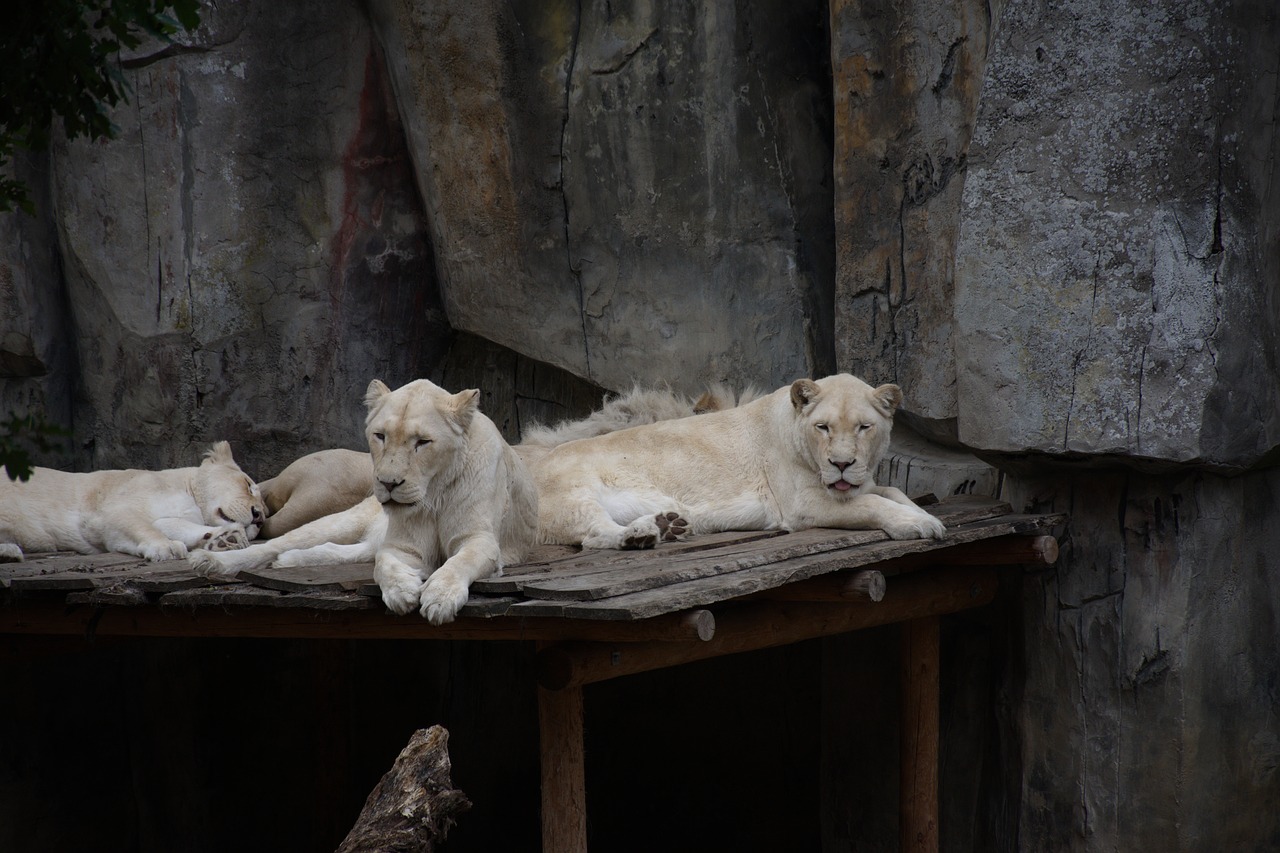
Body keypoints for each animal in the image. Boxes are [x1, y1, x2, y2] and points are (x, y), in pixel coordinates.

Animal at [0, 440, 264, 560]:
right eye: (248, 484)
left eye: (265, 511)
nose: (259, 517)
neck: (189, 494)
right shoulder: (105, 513)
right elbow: (141, 526)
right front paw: (166, 548)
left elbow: (175, 526)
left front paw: (227, 538)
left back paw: (11, 552)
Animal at [529, 371, 952, 545]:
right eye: (823, 427)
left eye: (864, 427)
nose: (842, 464)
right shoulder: (802, 504)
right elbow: (874, 504)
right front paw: (919, 525)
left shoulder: (859, 483)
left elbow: (892, 492)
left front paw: (923, 513)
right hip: (574, 496)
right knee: (594, 536)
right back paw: (643, 536)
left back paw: (667, 525)